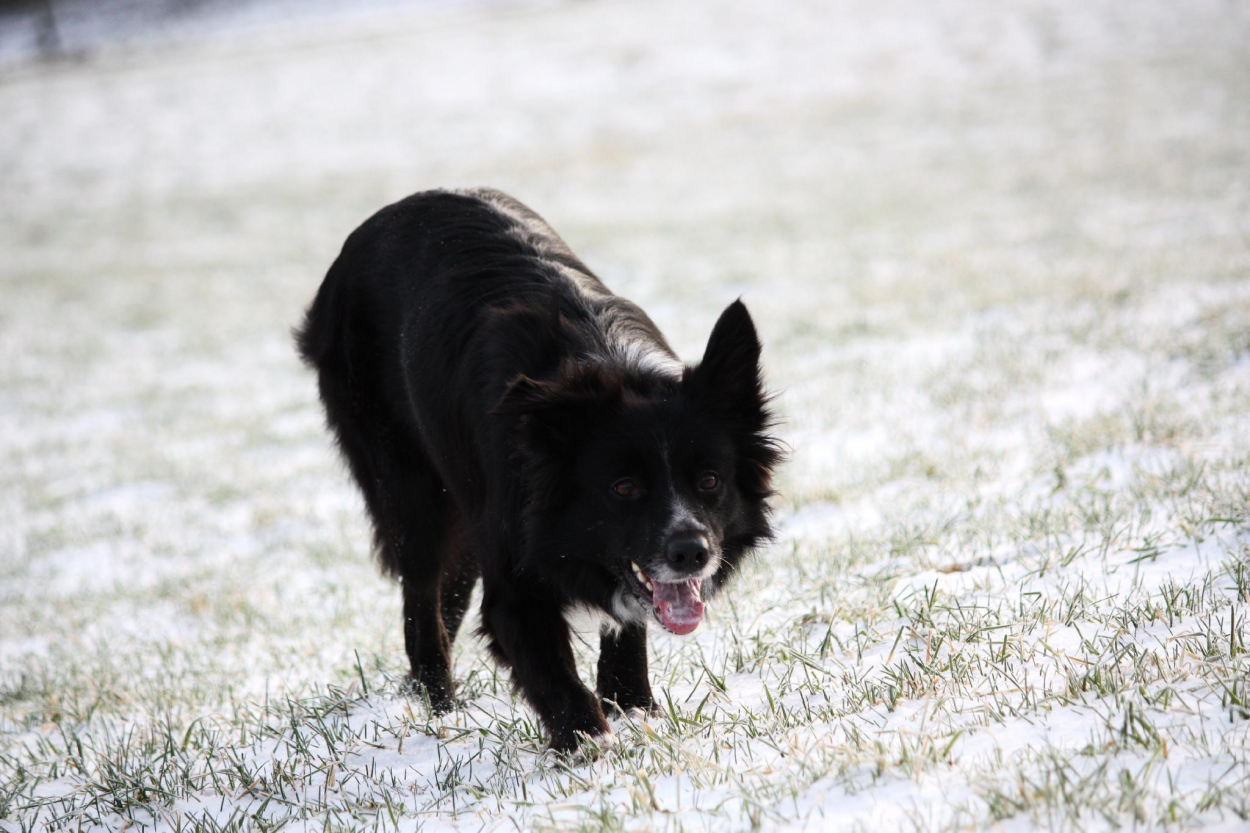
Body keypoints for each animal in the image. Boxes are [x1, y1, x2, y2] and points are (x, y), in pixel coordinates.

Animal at [296, 188, 780, 751]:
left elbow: (625, 624)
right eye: (624, 487)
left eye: (709, 480)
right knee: (420, 592)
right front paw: (589, 748)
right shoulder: (517, 571)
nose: (691, 553)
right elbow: (551, 671)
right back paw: (441, 712)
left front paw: (635, 709)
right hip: (406, 484)